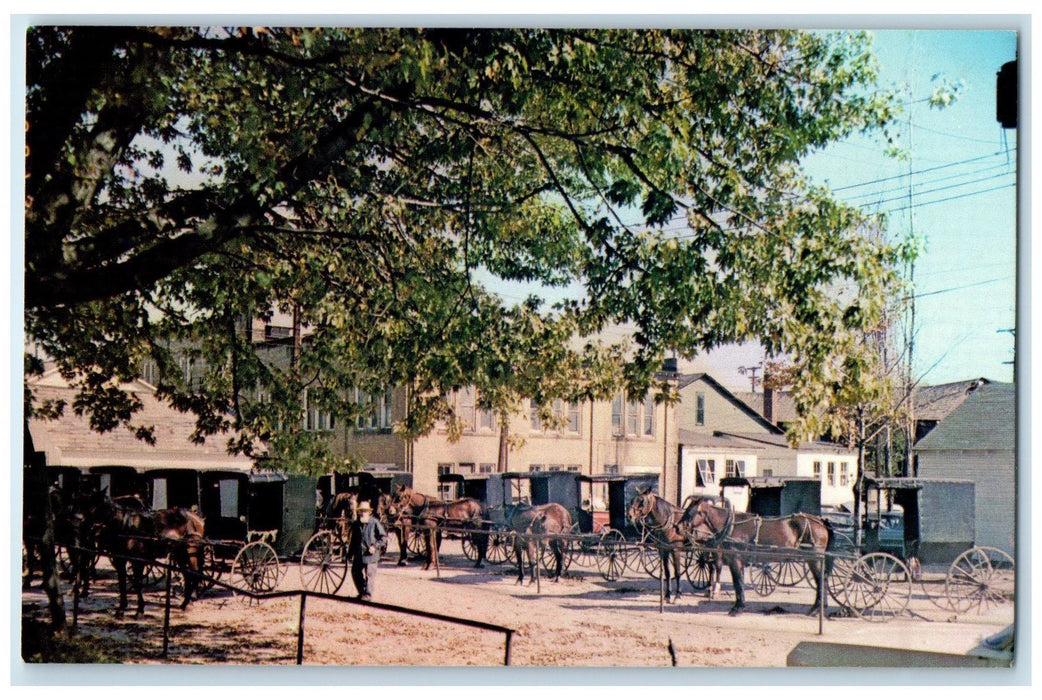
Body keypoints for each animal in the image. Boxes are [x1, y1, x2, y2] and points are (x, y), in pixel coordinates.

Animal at [691, 499, 829, 616]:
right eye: (688, 509)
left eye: (693, 511)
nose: (682, 529)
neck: (732, 526)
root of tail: (821, 522)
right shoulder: (737, 561)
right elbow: (738, 582)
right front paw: (738, 605)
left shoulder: (735, 560)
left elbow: (738, 583)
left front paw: (737, 608)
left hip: (815, 559)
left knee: (821, 580)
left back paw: (817, 609)